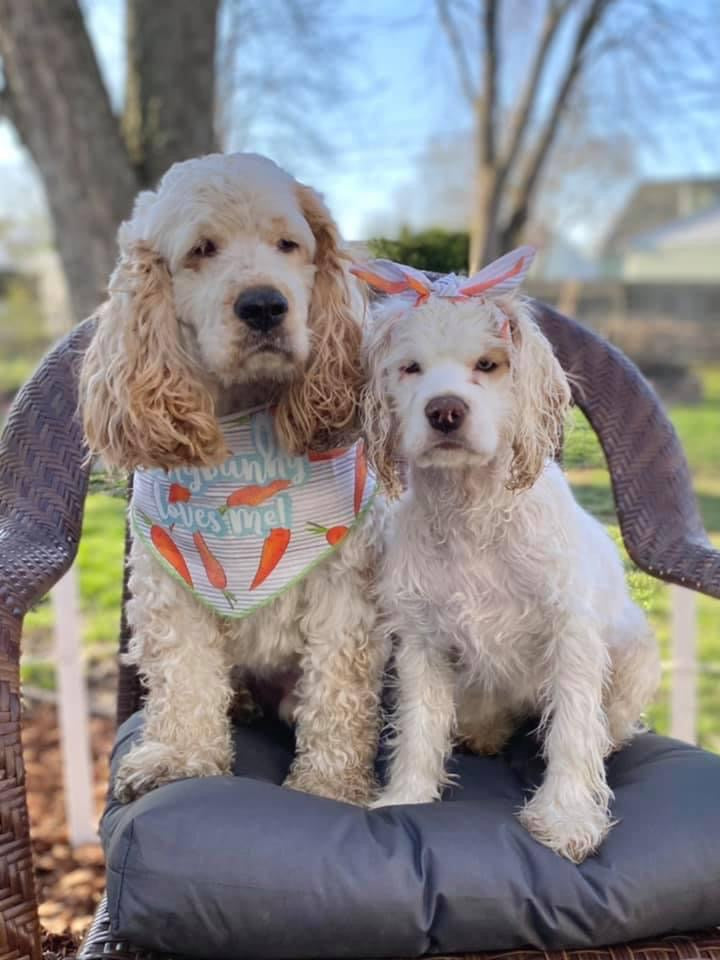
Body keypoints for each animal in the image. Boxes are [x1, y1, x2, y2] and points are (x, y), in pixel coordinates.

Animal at [79, 154, 388, 808]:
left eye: (289, 245)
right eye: (201, 250)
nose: (264, 305)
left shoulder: (344, 590)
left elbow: (338, 692)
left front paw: (331, 783)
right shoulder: (169, 584)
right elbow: (186, 678)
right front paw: (180, 758)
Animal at [358, 253, 660, 864]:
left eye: (488, 364)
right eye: (411, 369)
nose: (445, 411)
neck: (471, 510)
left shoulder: (571, 634)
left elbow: (571, 730)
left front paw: (567, 818)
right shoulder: (421, 638)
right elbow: (419, 724)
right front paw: (407, 798)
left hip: (635, 656)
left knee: (609, 726)